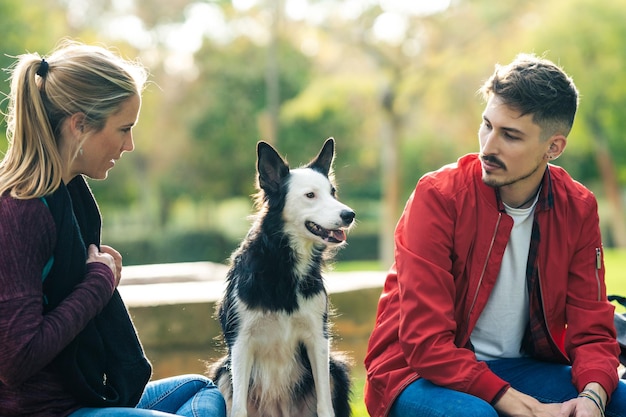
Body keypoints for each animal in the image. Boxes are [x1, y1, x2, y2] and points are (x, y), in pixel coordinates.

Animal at [211, 138, 352, 414]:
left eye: (333, 192)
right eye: (310, 195)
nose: (349, 215)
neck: (282, 264)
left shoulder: (317, 340)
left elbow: (325, 407)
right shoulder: (241, 343)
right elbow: (239, 409)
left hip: (336, 369)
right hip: (222, 372)